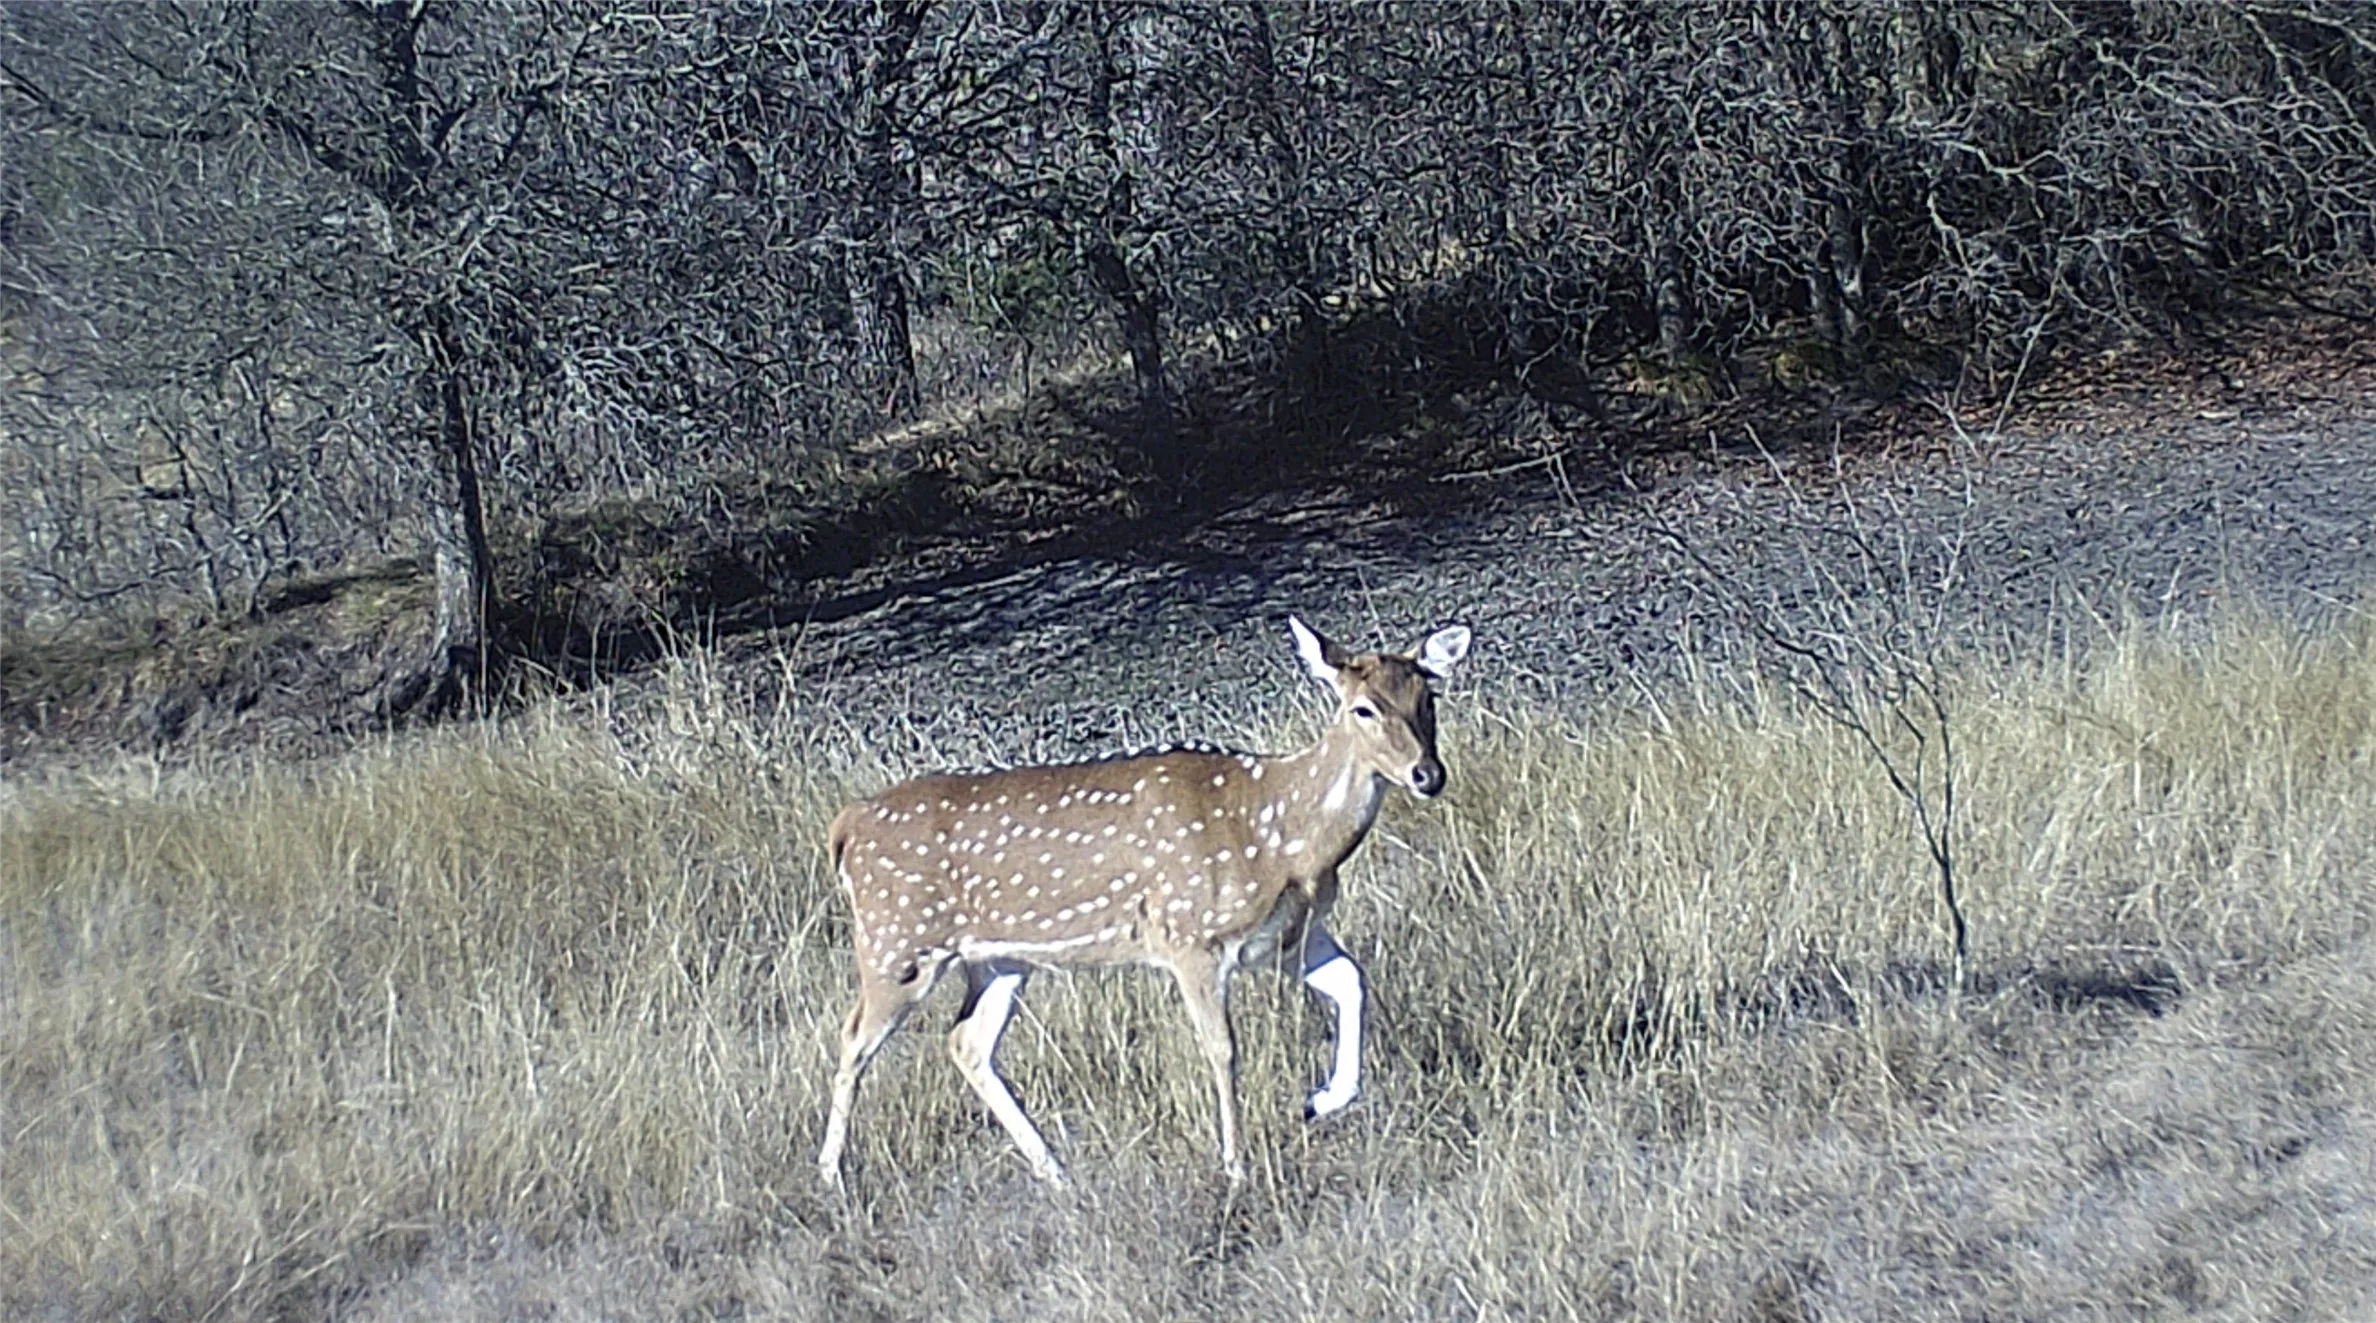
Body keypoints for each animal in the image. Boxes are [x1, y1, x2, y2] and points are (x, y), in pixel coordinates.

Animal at [816, 616, 1473, 1189]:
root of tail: (846, 826)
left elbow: (1351, 982)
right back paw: (830, 1176)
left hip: (998, 958)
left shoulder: (1290, 937)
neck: (1281, 839)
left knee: (967, 1044)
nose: (1427, 774)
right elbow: (1223, 1048)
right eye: (1362, 708)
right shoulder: (1190, 936)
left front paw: (1322, 1100)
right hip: (897, 942)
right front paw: (1236, 1167)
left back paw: (1056, 1173)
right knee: (854, 1039)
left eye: (1428, 699)